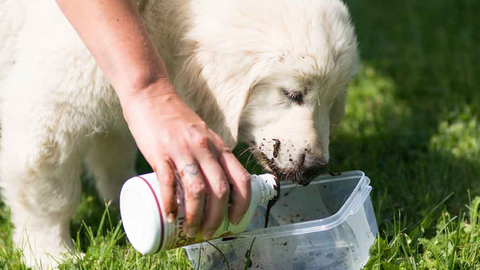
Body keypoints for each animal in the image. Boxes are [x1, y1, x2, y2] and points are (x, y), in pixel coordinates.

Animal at [0, 0, 356, 266]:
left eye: (333, 101)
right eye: (292, 94)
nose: (316, 168)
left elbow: (112, 155)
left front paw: (121, 203)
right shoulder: (49, 109)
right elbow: (51, 197)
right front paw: (51, 254)